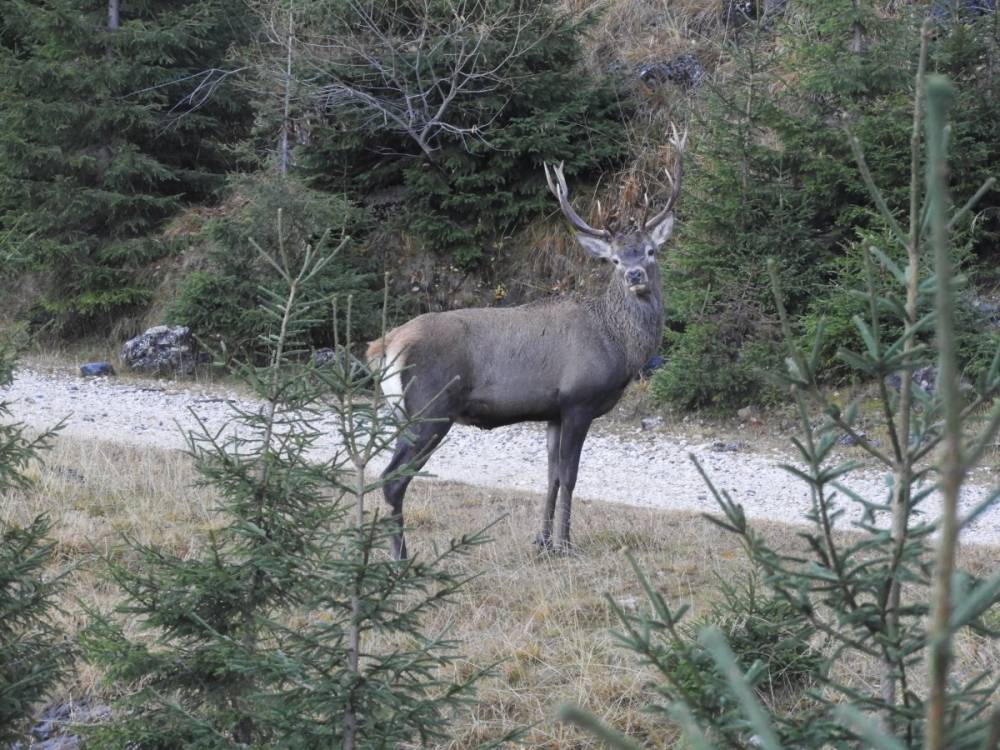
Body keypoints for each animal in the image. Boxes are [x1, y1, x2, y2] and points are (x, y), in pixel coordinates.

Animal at [368, 128, 688, 560]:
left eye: (650, 251)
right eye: (615, 260)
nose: (635, 274)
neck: (617, 345)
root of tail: (384, 346)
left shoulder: (553, 411)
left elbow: (550, 477)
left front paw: (543, 542)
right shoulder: (579, 400)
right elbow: (569, 477)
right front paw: (566, 545)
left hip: (407, 413)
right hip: (429, 408)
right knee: (392, 478)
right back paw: (400, 559)